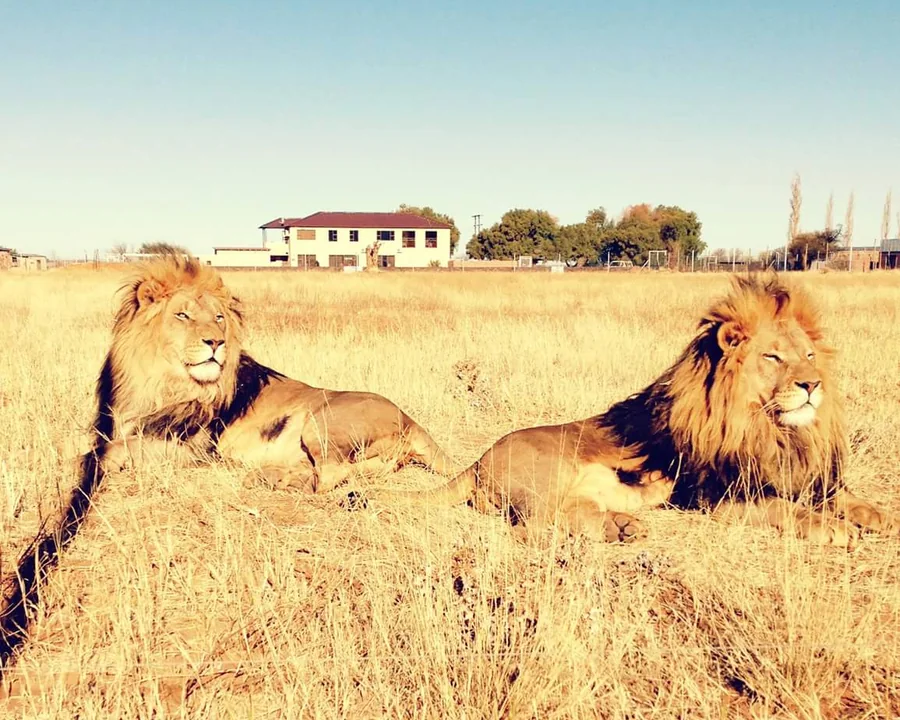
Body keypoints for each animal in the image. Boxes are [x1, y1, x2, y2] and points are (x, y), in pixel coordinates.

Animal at [355, 273, 897, 549]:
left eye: (808, 354)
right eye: (772, 357)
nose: (813, 385)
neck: (771, 430)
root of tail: (477, 461)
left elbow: (843, 496)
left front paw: (877, 514)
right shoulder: (717, 497)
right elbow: (785, 509)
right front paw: (832, 528)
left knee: (573, 514)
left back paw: (623, 527)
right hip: (552, 471)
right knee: (534, 528)